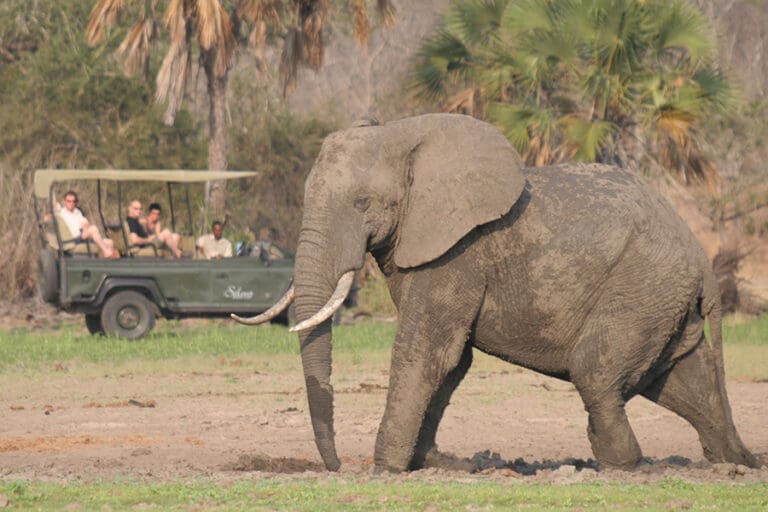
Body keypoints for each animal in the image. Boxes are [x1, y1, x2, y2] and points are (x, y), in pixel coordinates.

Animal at [234, 113, 758, 473]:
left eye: (362, 203)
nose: (338, 466)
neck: (404, 137)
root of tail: (701, 259)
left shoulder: (458, 251)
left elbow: (427, 351)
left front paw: (386, 468)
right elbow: (451, 360)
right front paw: (433, 464)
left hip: (641, 287)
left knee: (597, 372)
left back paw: (621, 465)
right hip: (663, 299)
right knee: (681, 377)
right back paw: (735, 462)